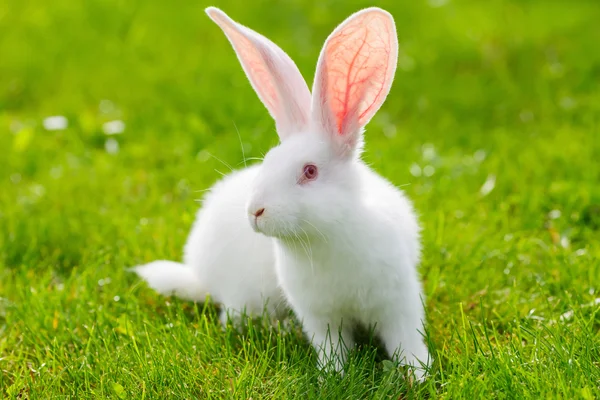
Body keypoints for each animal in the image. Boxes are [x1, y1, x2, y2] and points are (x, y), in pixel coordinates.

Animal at [203, 7, 432, 378]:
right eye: (268, 161)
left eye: (310, 172)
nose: (255, 212)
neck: (325, 238)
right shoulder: (319, 316)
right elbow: (332, 347)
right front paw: (332, 375)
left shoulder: (399, 302)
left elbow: (406, 340)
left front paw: (418, 374)